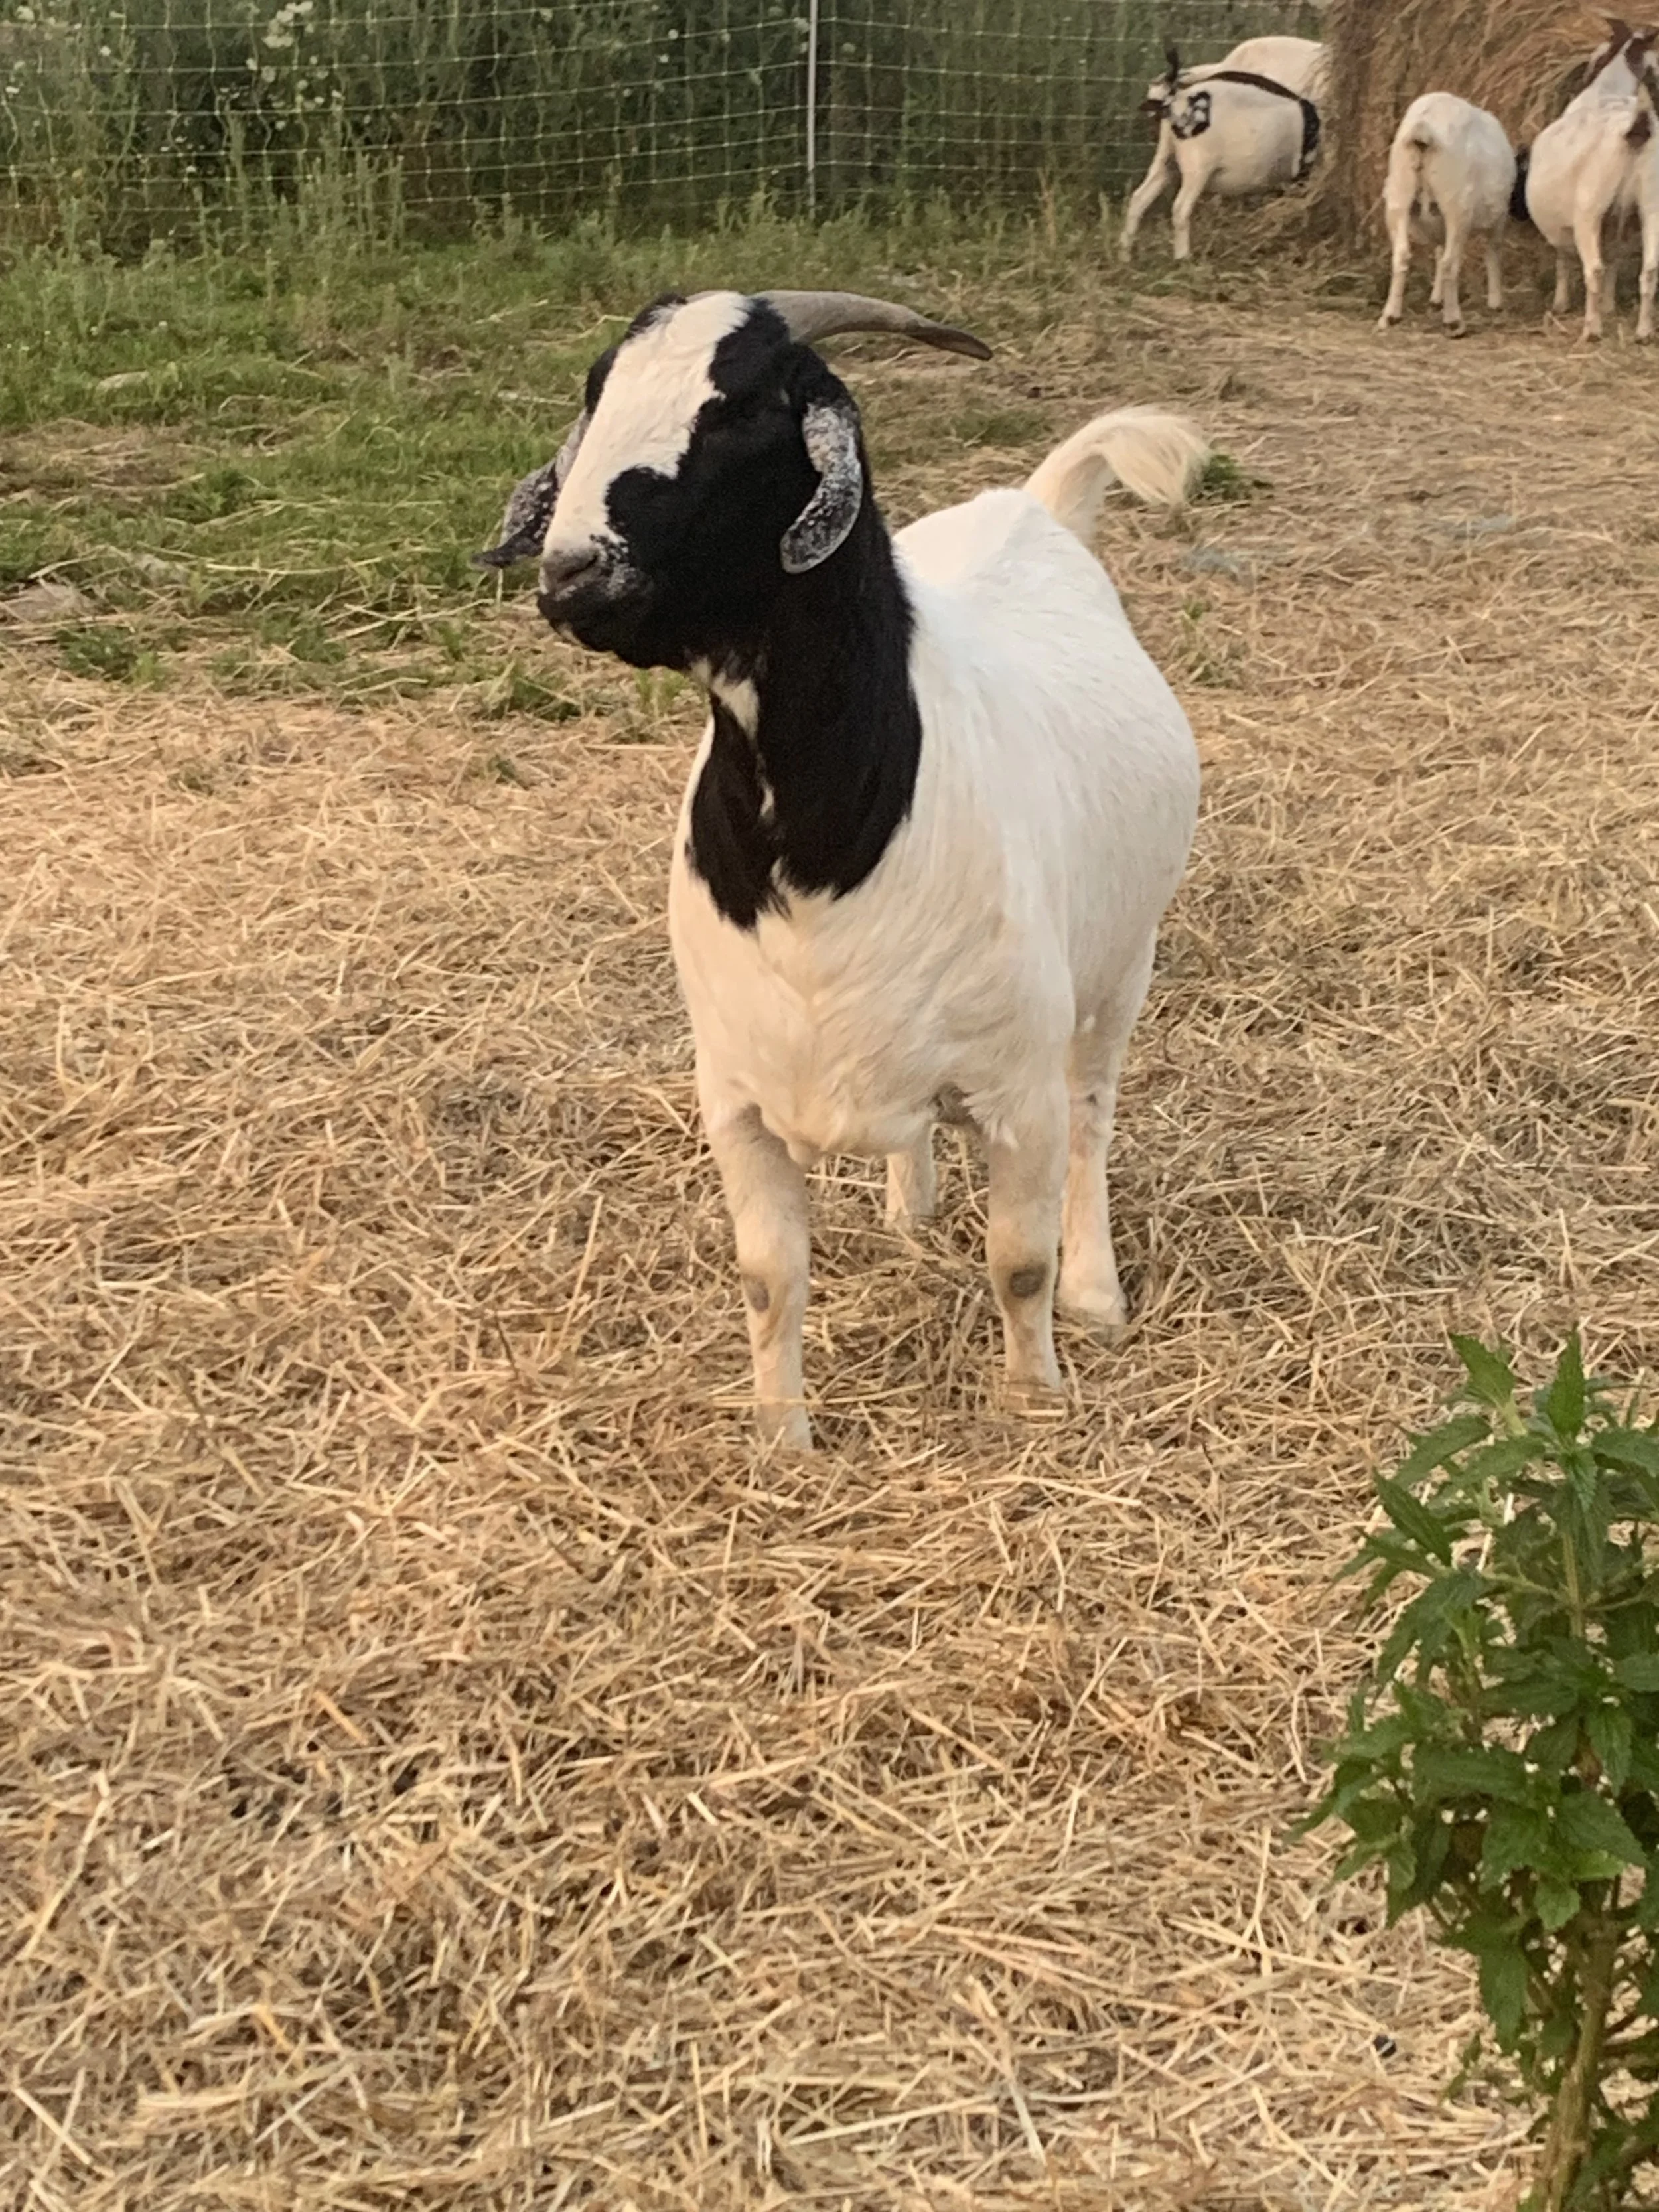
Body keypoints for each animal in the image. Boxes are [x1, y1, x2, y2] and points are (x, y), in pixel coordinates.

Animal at [477, 290, 1206, 1450]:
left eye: (739, 411)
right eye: (599, 388)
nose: (570, 573)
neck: (823, 847)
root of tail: (1033, 506)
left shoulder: (1018, 1086)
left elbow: (1019, 1262)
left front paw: (1032, 1399)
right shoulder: (734, 1095)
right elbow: (769, 1277)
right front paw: (782, 1441)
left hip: (1122, 962)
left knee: (1095, 1114)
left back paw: (1099, 1294)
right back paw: (912, 1208)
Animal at [1121, 37, 1325, 261]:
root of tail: (1176, 101)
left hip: (1166, 157)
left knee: (1139, 198)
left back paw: (1125, 255)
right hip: (1198, 162)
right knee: (1180, 208)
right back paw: (1183, 257)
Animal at [1378, 94, 1518, 334]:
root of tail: (1423, 128)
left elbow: (1437, 251)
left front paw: (1436, 298)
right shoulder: (1499, 217)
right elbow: (1493, 253)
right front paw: (1496, 302)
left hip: (1399, 195)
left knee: (1402, 256)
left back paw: (1390, 316)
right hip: (1456, 203)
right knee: (1449, 263)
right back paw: (1453, 321)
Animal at [1518, 18, 1659, 340]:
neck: (1607, 91)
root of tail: (1636, 129)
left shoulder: (1562, 223)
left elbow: (1564, 259)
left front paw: (1561, 304)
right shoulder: (1621, 219)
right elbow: (1616, 256)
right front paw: (1610, 305)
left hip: (1589, 209)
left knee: (1593, 268)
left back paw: (1592, 329)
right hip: (1652, 203)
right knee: (1649, 270)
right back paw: (1643, 332)